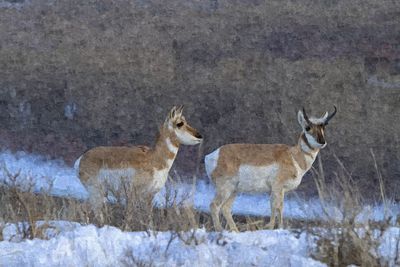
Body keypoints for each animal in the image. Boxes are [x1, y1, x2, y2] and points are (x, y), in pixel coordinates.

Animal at [74, 105, 202, 221]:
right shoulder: (135, 196)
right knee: (88, 210)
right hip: (96, 192)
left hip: (99, 194)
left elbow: (148, 218)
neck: (155, 158)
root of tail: (81, 158)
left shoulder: (149, 196)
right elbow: (131, 216)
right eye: (180, 123)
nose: (199, 136)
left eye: (186, 121)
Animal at [205, 105, 336, 231]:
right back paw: (220, 230)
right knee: (214, 206)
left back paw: (235, 231)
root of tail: (213, 155)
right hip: (225, 189)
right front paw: (279, 228)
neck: (293, 156)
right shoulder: (278, 188)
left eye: (323, 127)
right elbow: (279, 208)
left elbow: (273, 207)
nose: (322, 142)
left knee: (225, 208)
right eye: (307, 127)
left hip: (234, 191)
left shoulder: (277, 191)